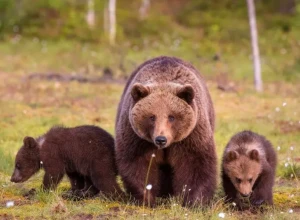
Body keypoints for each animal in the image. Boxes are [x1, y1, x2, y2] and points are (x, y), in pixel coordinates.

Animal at [115, 55, 216, 207]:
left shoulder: (191, 135)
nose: (161, 139)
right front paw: (146, 198)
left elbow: (196, 162)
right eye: (151, 116)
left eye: (171, 117)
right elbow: (138, 164)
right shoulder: (137, 138)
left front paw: (195, 201)